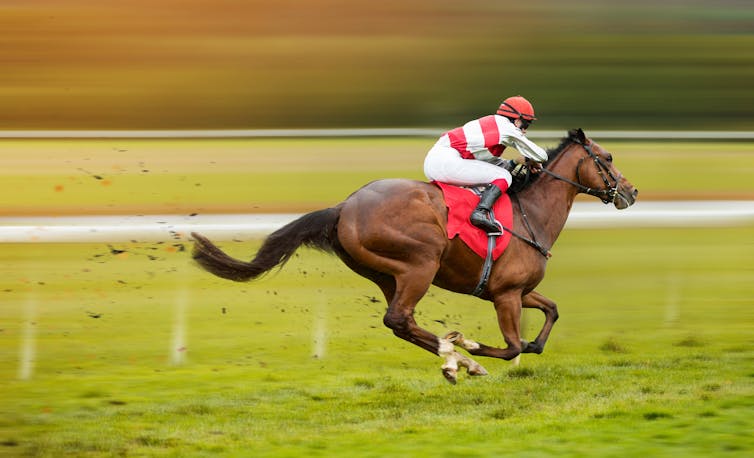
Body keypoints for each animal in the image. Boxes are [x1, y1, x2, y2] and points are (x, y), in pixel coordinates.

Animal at [191, 128, 638, 384]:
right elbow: (513, 346)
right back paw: (458, 358)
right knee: (399, 319)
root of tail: (344, 206)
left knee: (401, 323)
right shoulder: (506, 294)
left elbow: (549, 316)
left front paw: (482, 351)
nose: (631, 192)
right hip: (420, 263)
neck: (532, 214)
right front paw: (472, 349)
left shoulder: (517, 290)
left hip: (385, 274)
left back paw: (453, 359)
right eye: (608, 158)